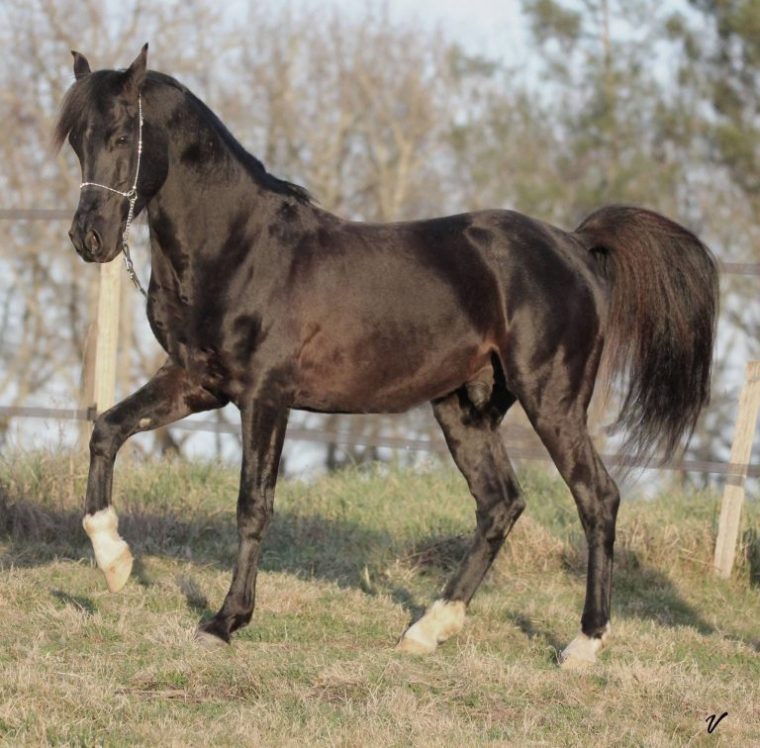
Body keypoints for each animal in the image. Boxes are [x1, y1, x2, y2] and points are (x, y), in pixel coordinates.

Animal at [56, 46, 716, 668]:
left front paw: (224, 622)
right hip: (464, 408)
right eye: (77, 143)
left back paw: (582, 645)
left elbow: (252, 505)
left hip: (552, 399)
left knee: (596, 499)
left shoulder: (265, 395)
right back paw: (428, 629)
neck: (239, 247)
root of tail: (575, 246)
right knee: (500, 505)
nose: (90, 239)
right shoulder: (198, 383)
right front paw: (114, 561)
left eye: (122, 136)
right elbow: (108, 429)